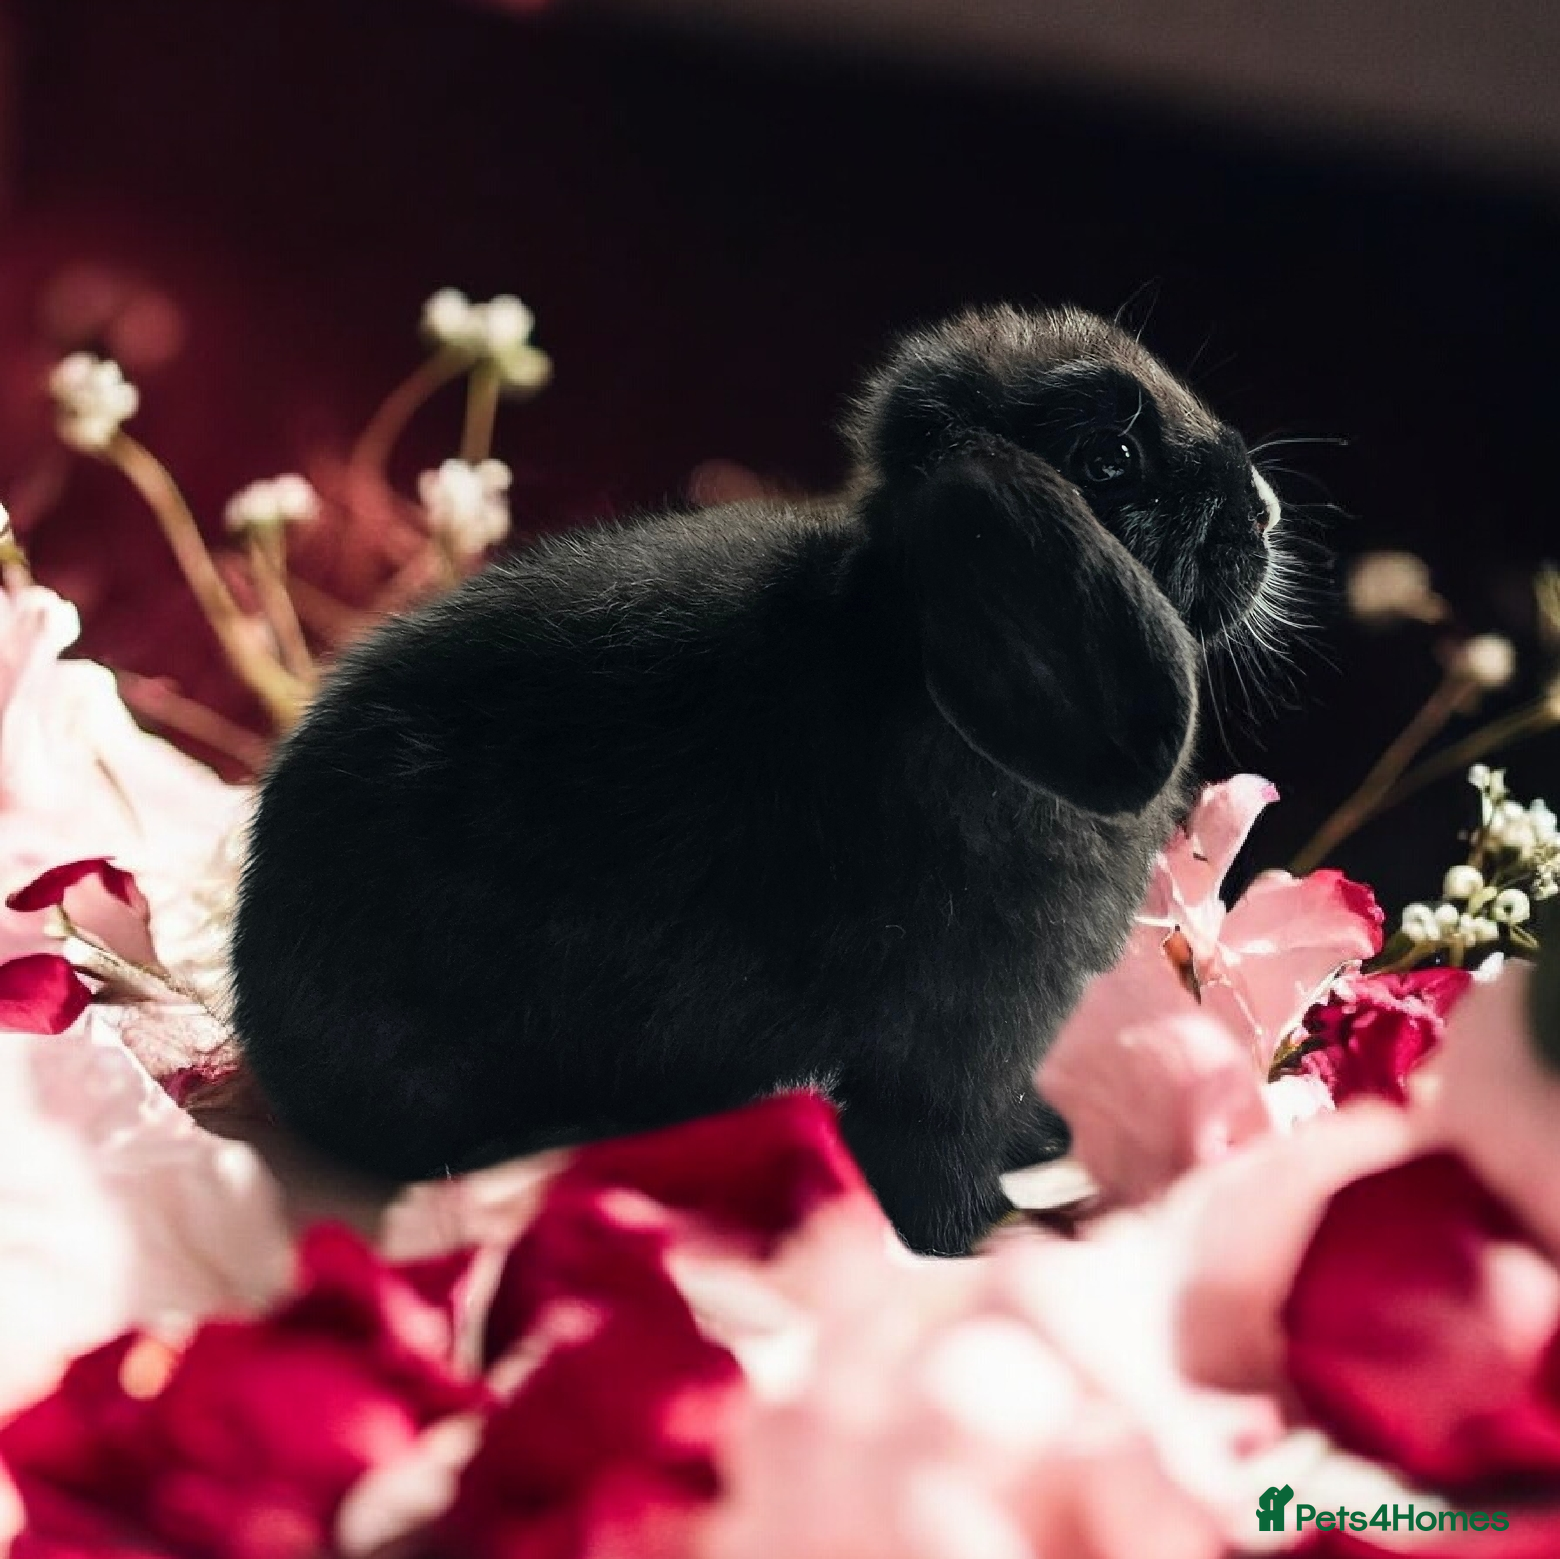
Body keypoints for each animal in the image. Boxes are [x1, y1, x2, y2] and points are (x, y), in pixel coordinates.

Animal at [231, 304, 1287, 1255]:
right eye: (1110, 459)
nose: (1266, 506)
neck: (904, 649)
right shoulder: (962, 1045)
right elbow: (936, 1165)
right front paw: (974, 1235)